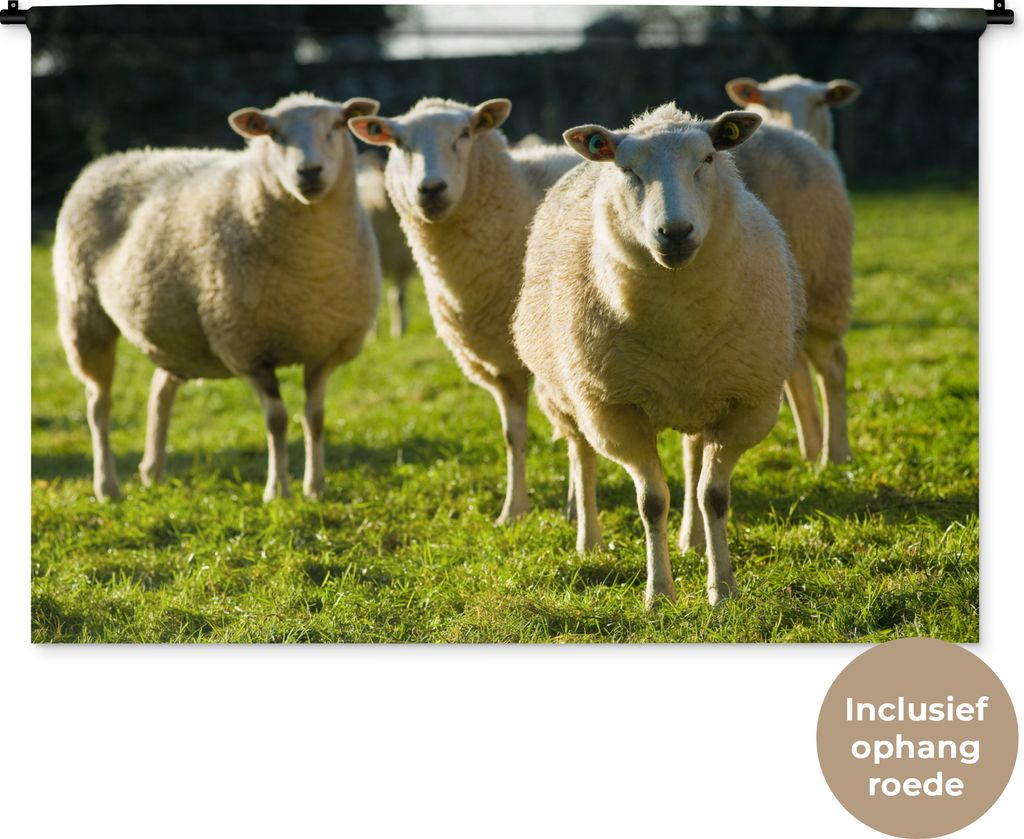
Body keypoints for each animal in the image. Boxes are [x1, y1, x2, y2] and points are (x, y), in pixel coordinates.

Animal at [54, 92, 382, 502]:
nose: (309, 172)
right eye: (273, 133)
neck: (311, 267)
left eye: (337, 125)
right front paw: (277, 491)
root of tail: (105, 162)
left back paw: (153, 471)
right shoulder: (247, 349)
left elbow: (315, 418)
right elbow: (277, 420)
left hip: (177, 334)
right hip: (84, 312)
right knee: (98, 403)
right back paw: (108, 487)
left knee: (160, 390)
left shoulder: (323, 348)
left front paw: (316, 487)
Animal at [513, 104, 806, 607]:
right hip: (567, 395)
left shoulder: (746, 404)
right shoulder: (615, 412)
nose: (675, 232)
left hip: (702, 395)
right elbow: (651, 502)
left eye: (707, 158)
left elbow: (713, 496)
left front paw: (722, 589)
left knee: (691, 462)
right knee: (582, 458)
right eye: (627, 170)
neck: (678, 324)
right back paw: (589, 541)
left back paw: (694, 540)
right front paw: (659, 594)